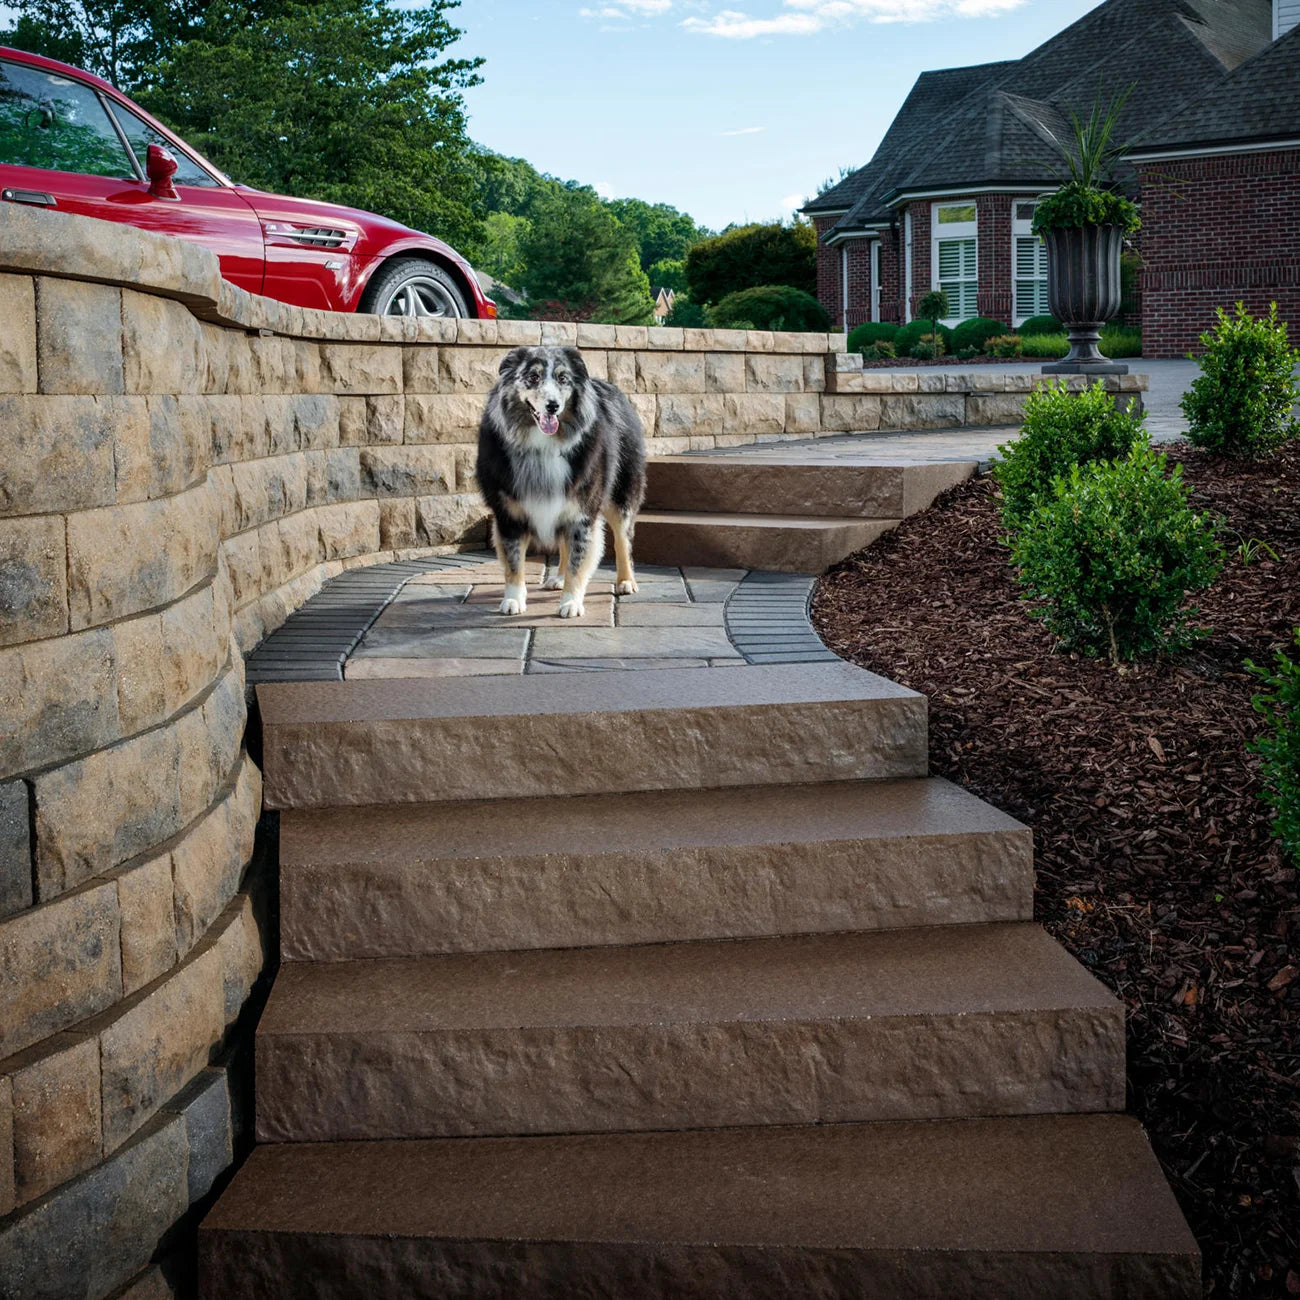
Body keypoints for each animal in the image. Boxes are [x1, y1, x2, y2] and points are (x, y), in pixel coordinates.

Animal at [475, 343, 647, 616]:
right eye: (533, 377)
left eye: (563, 379)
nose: (553, 405)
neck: (543, 444)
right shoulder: (509, 514)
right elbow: (514, 562)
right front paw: (513, 599)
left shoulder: (583, 511)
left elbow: (580, 560)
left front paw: (571, 602)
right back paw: (558, 577)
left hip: (622, 493)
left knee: (623, 538)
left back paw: (625, 581)